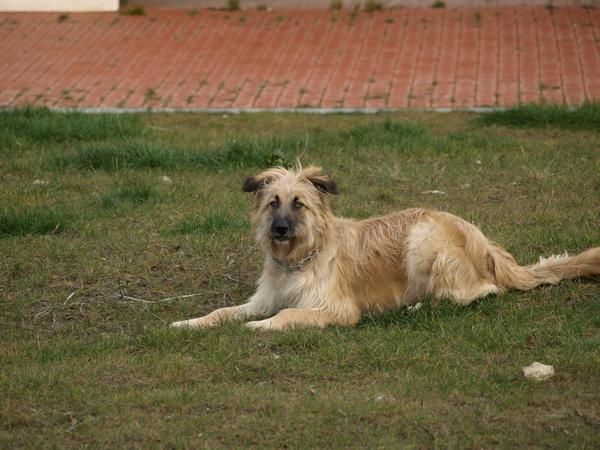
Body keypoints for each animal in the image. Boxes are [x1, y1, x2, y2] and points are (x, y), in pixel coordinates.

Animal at [170, 165, 600, 330]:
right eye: (273, 202)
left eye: (299, 204)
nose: (279, 230)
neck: (298, 259)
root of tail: (485, 244)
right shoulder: (262, 298)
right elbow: (223, 311)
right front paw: (189, 322)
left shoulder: (336, 308)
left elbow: (288, 314)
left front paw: (261, 327)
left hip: (423, 241)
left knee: (479, 291)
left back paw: (418, 305)